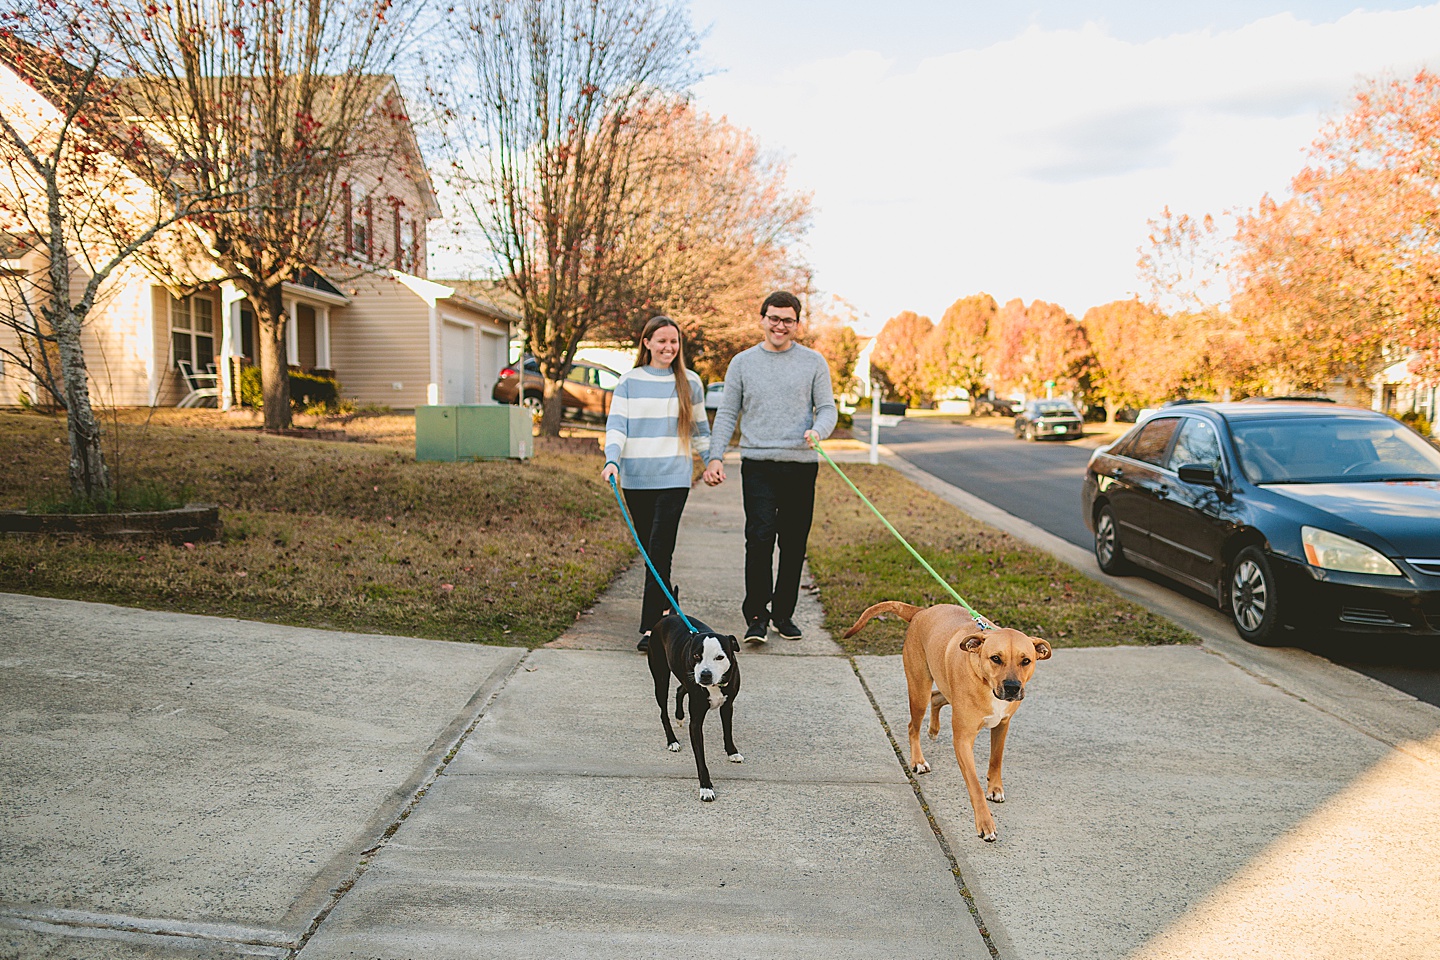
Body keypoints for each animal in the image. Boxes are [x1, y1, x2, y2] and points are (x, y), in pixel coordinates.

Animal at [650, 616, 743, 805]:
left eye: (720, 657)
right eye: (696, 655)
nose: (705, 674)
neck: (714, 686)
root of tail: (666, 618)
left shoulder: (727, 707)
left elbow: (727, 731)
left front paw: (732, 752)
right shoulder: (696, 722)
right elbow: (700, 758)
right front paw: (706, 788)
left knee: (680, 689)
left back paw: (679, 716)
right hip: (661, 678)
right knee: (663, 712)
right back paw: (672, 740)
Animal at [846, 604, 1054, 846]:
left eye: (1026, 661)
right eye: (995, 658)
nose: (1012, 687)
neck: (986, 683)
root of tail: (921, 611)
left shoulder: (1002, 725)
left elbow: (996, 758)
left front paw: (995, 788)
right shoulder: (963, 740)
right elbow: (974, 785)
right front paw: (985, 824)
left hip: (944, 688)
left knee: (937, 697)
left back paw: (934, 729)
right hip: (919, 691)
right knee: (913, 725)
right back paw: (918, 760)